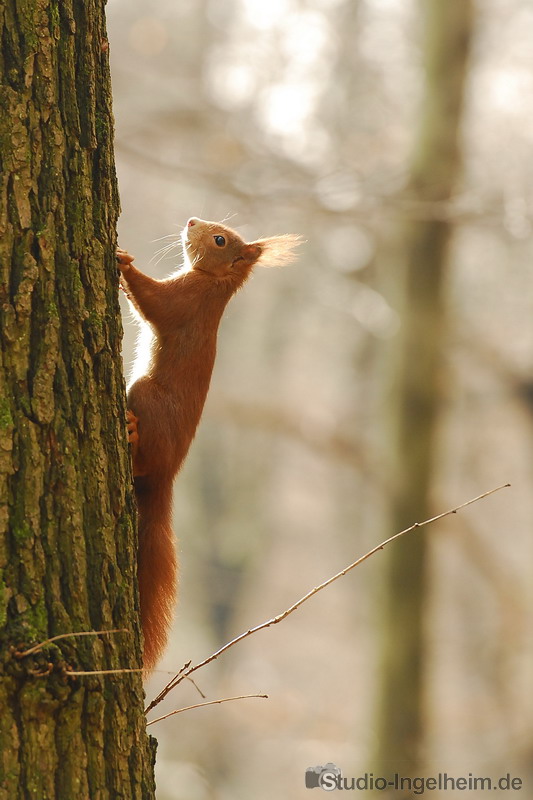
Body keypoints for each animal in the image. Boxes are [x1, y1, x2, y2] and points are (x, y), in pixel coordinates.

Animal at [116, 217, 300, 668]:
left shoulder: (185, 302)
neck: (214, 284)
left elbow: (153, 302)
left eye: (219, 240)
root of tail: (167, 476)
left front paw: (124, 263)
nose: (191, 221)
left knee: (143, 457)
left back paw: (132, 434)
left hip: (146, 396)